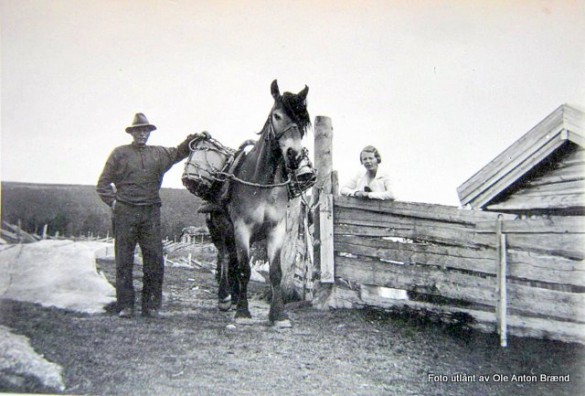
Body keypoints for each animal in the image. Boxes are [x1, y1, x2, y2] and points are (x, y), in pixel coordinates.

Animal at [205, 79, 314, 326]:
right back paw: (225, 298)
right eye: (277, 116)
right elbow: (244, 268)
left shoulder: (276, 230)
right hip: (219, 231)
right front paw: (243, 312)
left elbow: (275, 272)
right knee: (225, 259)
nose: (294, 155)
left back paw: (234, 296)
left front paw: (278, 315)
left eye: (303, 122)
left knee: (231, 261)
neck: (263, 184)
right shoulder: (242, 228)